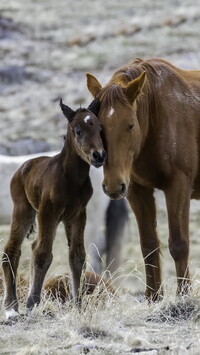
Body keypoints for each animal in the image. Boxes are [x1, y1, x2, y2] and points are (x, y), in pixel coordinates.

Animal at [1, 98, 106, 322]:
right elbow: (43, 254)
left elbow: (77, 256)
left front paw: (79, 305)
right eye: (78, 131)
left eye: (100, 129)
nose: (99, 156)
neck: (71, 179)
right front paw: (32, 303)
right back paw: (11, 306)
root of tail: (24, 165)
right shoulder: (48, 212)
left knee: (30, 247)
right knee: (12, 250)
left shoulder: (77, 215)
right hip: (23, 210)